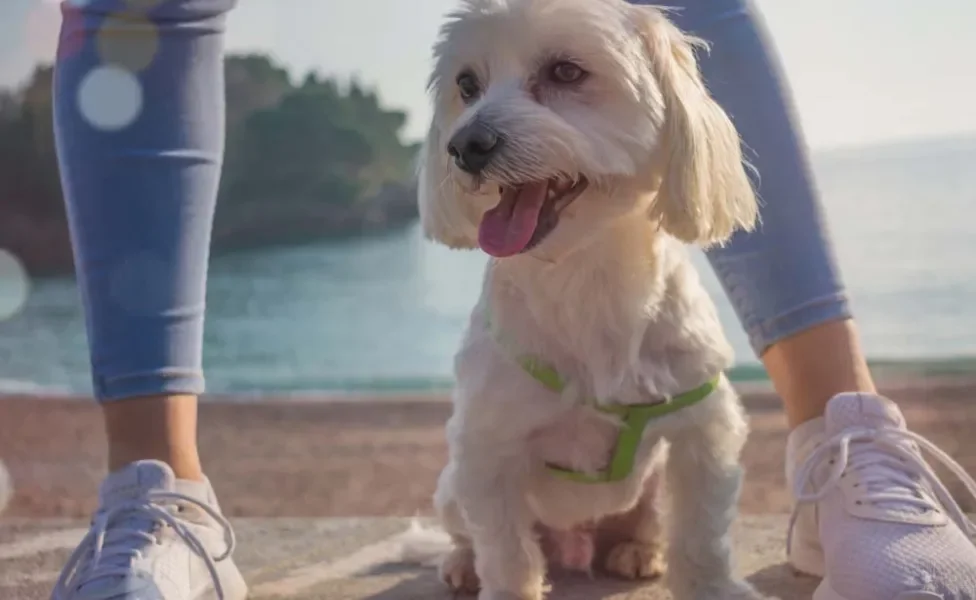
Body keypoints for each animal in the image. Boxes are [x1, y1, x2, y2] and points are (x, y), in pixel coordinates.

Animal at [420, 1, 772, 600]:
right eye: (467, 85)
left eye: (565, 72)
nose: (464, 146)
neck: (584, 277)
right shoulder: (486, 450)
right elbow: (506, 553)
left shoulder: (703, 426)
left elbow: (701, 531)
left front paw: (711, 585)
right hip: (450, 486)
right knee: (469, 533)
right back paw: (462, 563)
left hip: (648, 486)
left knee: (649, 521)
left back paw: (638, 550)